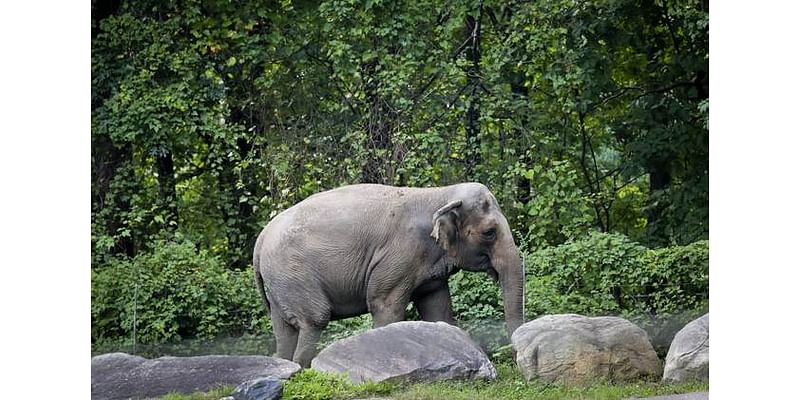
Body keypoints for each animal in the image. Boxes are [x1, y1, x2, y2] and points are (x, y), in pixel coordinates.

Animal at [252, 183, 524, 368]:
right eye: (489, 232)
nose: (514, 360)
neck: (440, 194)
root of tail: (261, 238)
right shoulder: (400, 255)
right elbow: (385, 305)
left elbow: (437, 308)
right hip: (293, 273)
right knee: (315, 319)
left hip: (280, 283)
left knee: (284, 330)